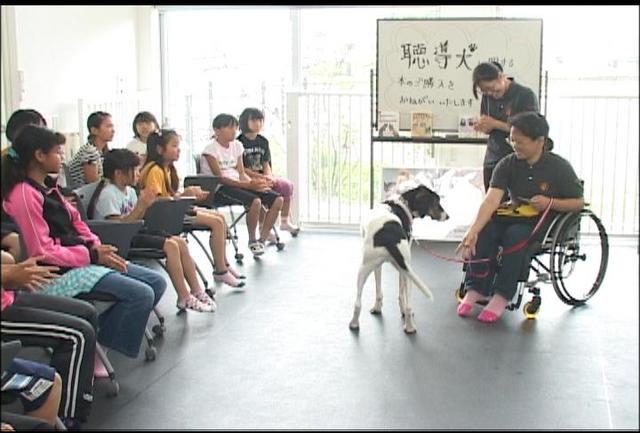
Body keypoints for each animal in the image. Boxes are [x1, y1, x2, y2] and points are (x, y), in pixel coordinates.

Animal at [350, 184, 450, 332]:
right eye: (436, 202)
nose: (448, 216)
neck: (403, 203)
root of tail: (389, 235)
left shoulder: (380, 266)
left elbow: (379, 291)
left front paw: (377, 308)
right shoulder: (399, 270)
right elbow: (400, 295)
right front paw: (400, 310)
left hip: (363, 270)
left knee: (357, 303)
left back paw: (354, 323)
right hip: (407, 273)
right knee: (408, 306)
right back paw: (409, 325)